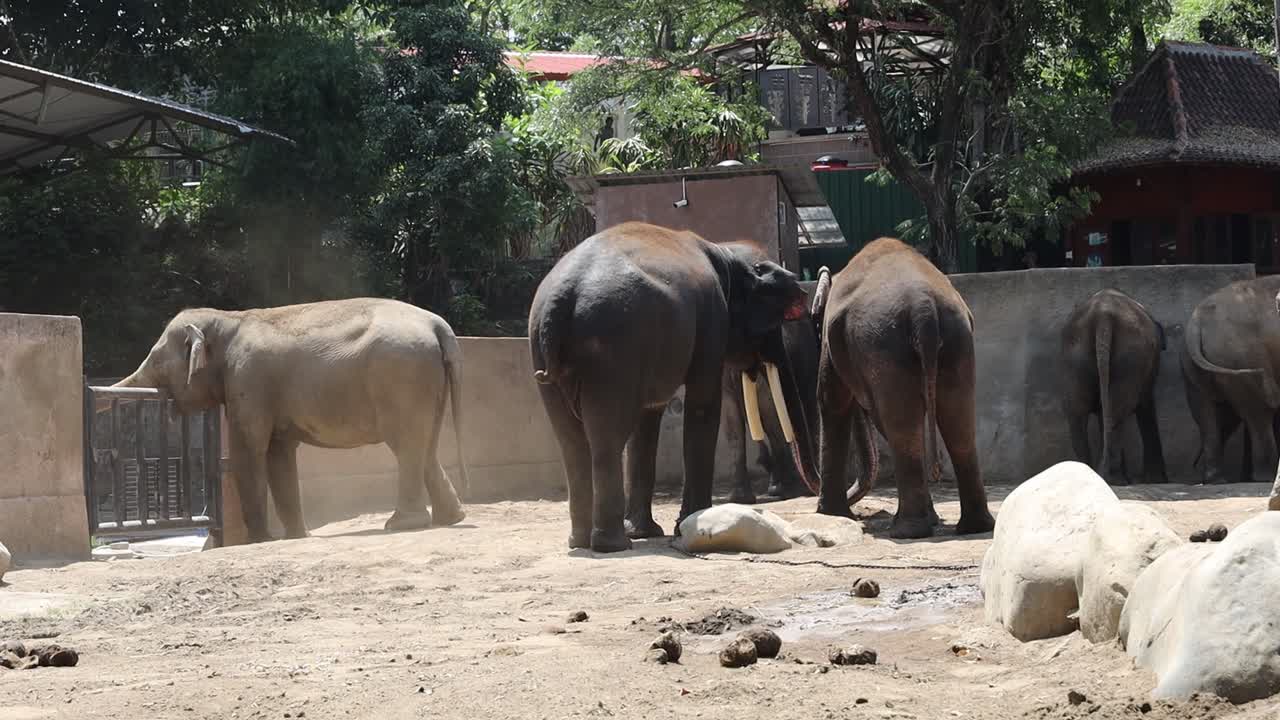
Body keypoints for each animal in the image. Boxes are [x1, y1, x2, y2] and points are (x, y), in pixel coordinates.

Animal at [113, 298, 470, 542]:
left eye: (157, 362)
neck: (227, 319)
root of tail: (438, 326)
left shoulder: (248, 379)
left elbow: (249, 452)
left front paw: (261, 541)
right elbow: (278, 454)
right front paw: (296, 537)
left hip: (401, 375)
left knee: (406, 445)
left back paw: (401, 524)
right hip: (425, 378)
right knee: (425, 445)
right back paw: (450, 518)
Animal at [528, 221, 818, 553]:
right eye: (774, 324)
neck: (725, 252)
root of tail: (561, 295)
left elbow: (648, 419)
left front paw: (647, 531)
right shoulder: (711, 319)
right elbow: (703, 405)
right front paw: (683, 526)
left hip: (543, 346)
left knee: (571, 442)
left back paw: (581, 540)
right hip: (611, 347)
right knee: (606, 437)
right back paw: (612, 545)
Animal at [811, 238, 994, 539]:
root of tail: (923, 307)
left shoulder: (830, 341)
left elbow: (832, 403)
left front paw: (830, 515)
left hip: (885, 344)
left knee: (902, 425)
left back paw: (905, 531)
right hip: (957, 342)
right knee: (957, 425)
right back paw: (972, 526)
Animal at [1060, 288, 1168, 485]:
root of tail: (1103, 316)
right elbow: (1145, 406)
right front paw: (1156, 479)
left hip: (1074, 355)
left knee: (1078, 412)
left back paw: (1093, 473)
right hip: (1130, 356)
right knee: (1116, 411)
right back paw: (1113, 478)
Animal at [1181, 275, 1280, 485]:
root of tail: (1197, 322)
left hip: (1196, 366)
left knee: (1209, 413)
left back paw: (1216, 479)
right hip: (1241, 354)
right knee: (1259, 413)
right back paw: (1264, 477)